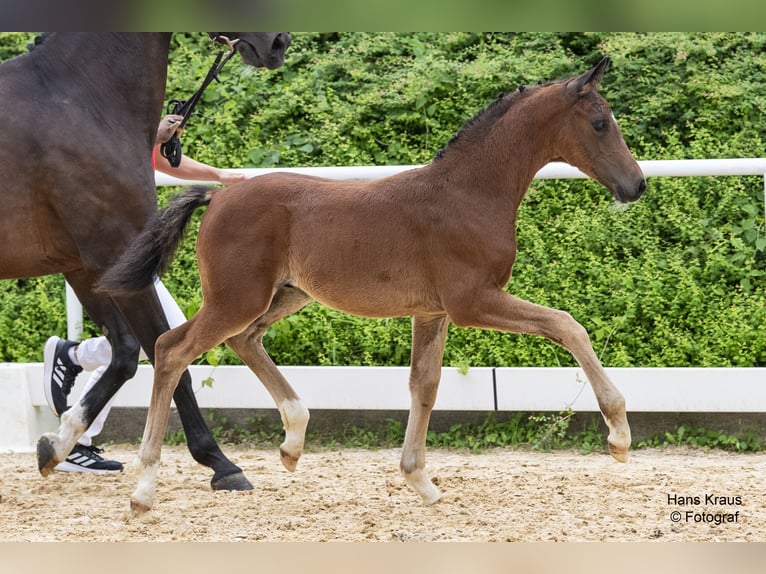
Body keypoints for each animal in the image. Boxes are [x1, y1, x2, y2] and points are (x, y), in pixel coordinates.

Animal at [99, 56, 644, 516]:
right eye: (600, 123)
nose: (636, 185)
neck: (470, 193)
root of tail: (217, 197)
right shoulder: (472, 301)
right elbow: (568, 325)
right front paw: (619, 435)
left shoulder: (432, 312)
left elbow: (424, 385)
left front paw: (420, 481)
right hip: (238, 298)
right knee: (172, 348)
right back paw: (145, 489)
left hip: (283, 295)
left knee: (243, 340)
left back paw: (292, 440)